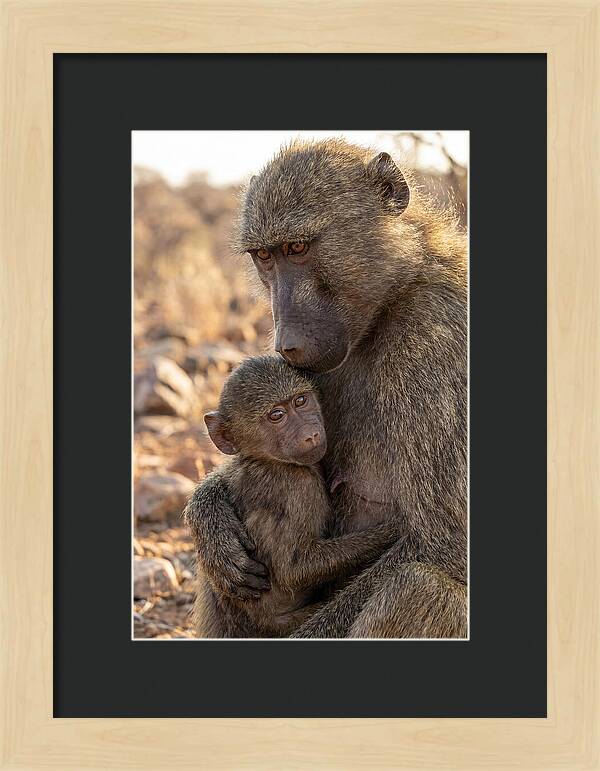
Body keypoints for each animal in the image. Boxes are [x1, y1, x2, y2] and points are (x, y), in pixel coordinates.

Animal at [184, 355, 404, 638]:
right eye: (276, 416)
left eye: (300, 401)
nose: (311, 435)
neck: (266, 460)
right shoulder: (298, 486)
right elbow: (294, 569)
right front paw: (394, 530)